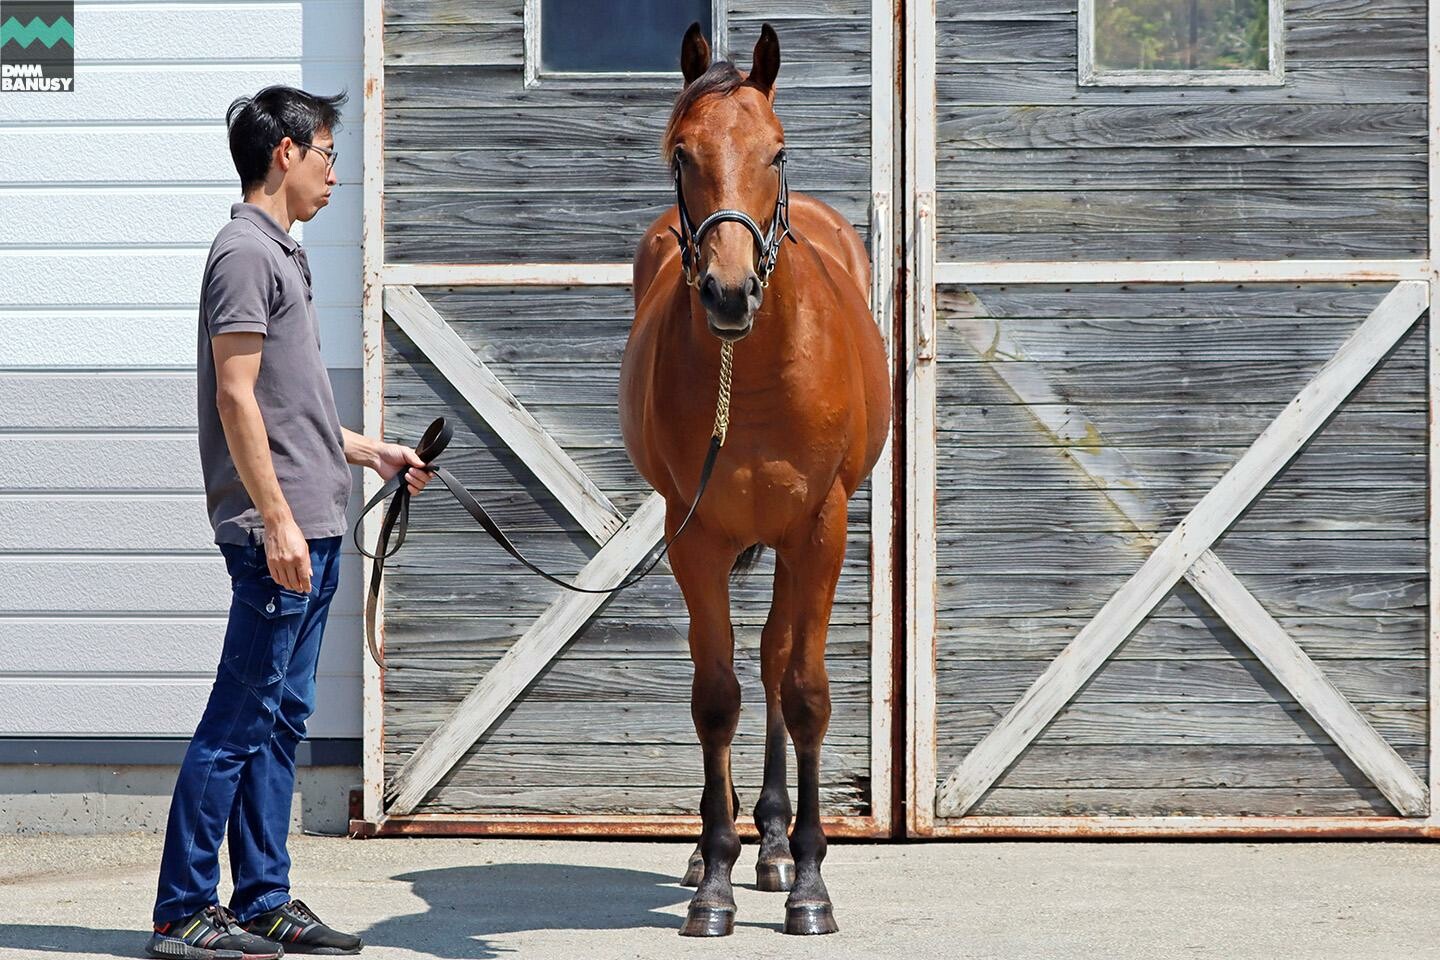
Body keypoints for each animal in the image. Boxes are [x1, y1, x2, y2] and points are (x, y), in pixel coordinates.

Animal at [616, 20, 887, 938]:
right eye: (681, 152)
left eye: (777, 150)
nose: (729, 293)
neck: (757, 369)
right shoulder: (693, 532)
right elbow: (715, 695)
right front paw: (714, 879)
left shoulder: (821, 528)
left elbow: (802, 691)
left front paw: (809, 881)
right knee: (740, 668)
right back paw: (724, 845)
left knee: (773, 659)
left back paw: (772, 842)